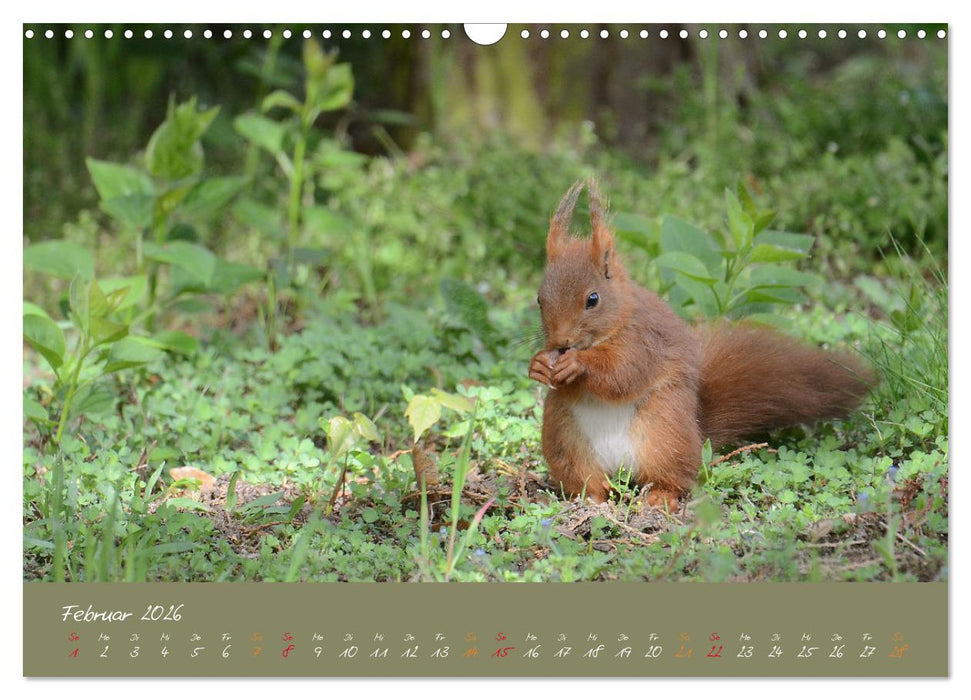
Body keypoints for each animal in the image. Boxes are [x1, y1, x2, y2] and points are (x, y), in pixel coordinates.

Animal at [528, 180, 876, 510]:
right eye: (540, 299)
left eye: (593, 299)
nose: (561, 341)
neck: (614, 324)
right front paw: (539, 365)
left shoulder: (644, 343)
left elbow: (622, 375)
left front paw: (578, 365)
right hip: (566, 439)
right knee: (589, 479)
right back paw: (589, 498)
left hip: (664, 432)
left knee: (673, 478)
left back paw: (658, 497)